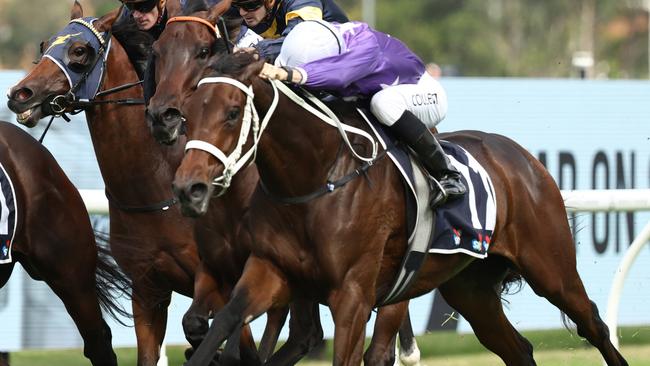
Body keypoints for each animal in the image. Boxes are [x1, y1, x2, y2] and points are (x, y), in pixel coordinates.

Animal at [170, 53, 624, 366]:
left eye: (232, 113)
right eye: (187, 115)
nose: (188, 188)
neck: (315, 179)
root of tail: (522, 157)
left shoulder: (352, 293)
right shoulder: (270, 270)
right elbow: (224, 321)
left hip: (550, 266)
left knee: (593, 323)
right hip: (471, 290)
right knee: (519, 349)